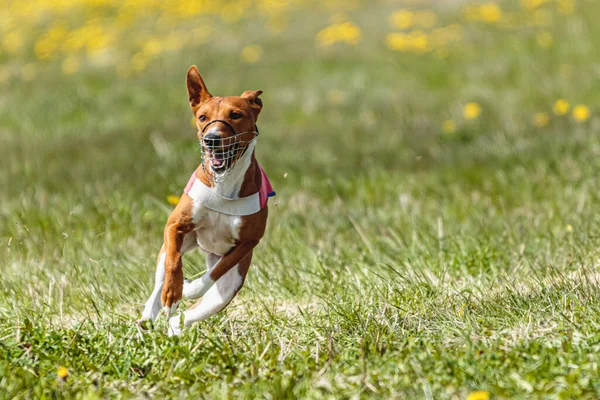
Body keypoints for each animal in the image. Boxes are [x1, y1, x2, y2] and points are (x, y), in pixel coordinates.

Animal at [138, 67, 274, 336]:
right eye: (202, 117)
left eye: (235, 115)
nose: (211, 138)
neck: (223, 185)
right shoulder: (174, 226)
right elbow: (173, 263)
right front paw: (173, 292)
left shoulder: (247, 242)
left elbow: (215, 272)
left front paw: (189, 288)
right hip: (178, 245)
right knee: (160, 277)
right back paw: (150, 313)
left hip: (227, 289)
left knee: (183, 317)